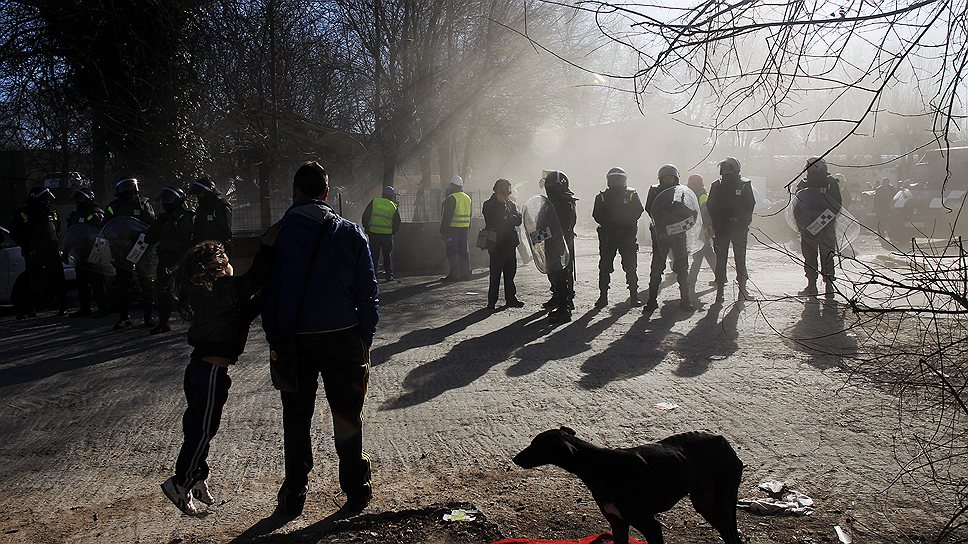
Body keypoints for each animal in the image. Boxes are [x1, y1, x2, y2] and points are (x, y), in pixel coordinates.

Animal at [516, 428, 740, 540]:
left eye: (536, 446)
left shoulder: (650, 526)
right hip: (706, 503)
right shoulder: (618, 524)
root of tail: (723, 441)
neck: (599, 466)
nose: (514, 458)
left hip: (720, 503)